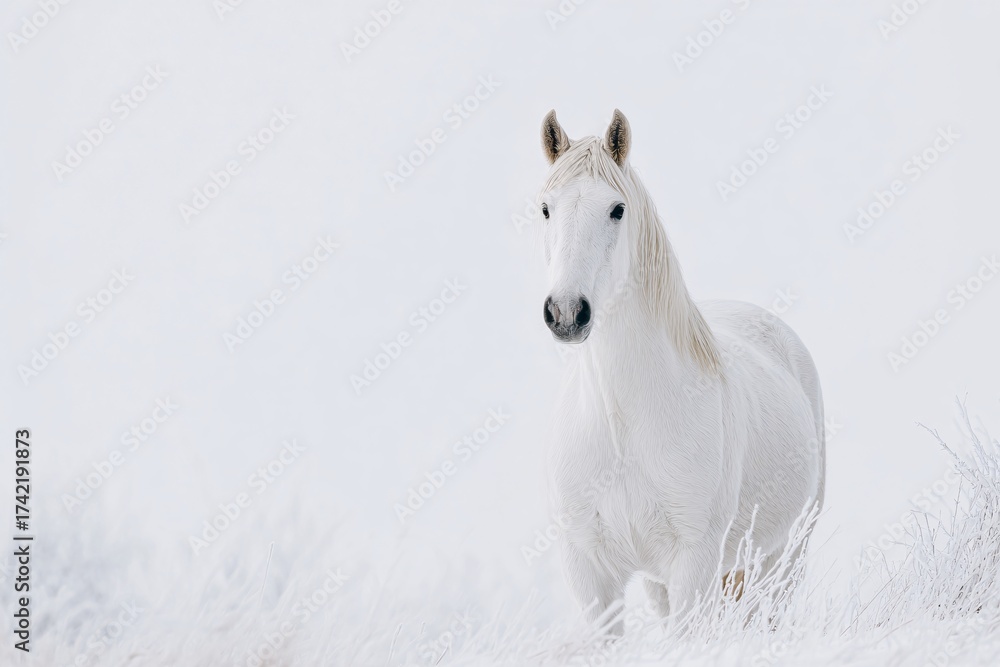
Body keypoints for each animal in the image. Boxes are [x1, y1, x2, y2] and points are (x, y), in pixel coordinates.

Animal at [535, 109, 825, 627]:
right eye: (546, 209)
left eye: (617, 209)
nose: (567, 312)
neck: (622, 426)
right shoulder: (591, 573)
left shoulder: (694, 563)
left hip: (782, 559)